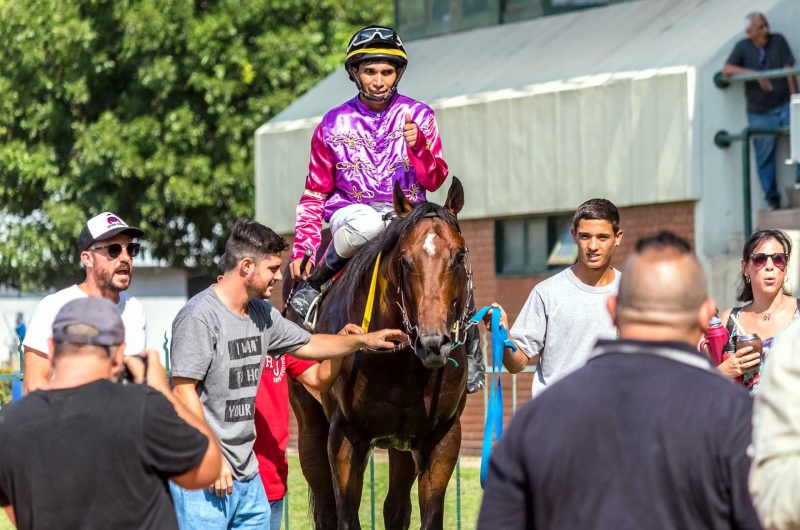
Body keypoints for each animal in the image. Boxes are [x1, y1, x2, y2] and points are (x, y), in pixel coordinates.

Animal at [286, 178, 476, 528]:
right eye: (404, 260)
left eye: (458, 256)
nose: (433, 342)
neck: (401, 365)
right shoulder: (345, 436)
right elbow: (346, 516)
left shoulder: (441, 437)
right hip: (308, 421)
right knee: (324, 505)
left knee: (396, 507)